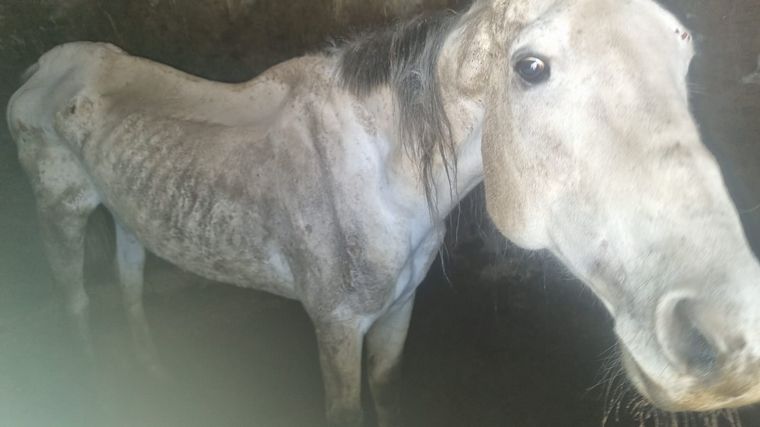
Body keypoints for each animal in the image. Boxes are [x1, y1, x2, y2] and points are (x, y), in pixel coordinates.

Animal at [7, 0, 760, 425]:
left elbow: (389, 389)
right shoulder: (336, 325)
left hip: (126, 216)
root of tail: (42, 67)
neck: (382, 172)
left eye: (682, 54)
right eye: (531, 67)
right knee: (77, 301)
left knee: (130, 286)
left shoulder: (399, 310)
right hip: (59, 214)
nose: (727, 337)